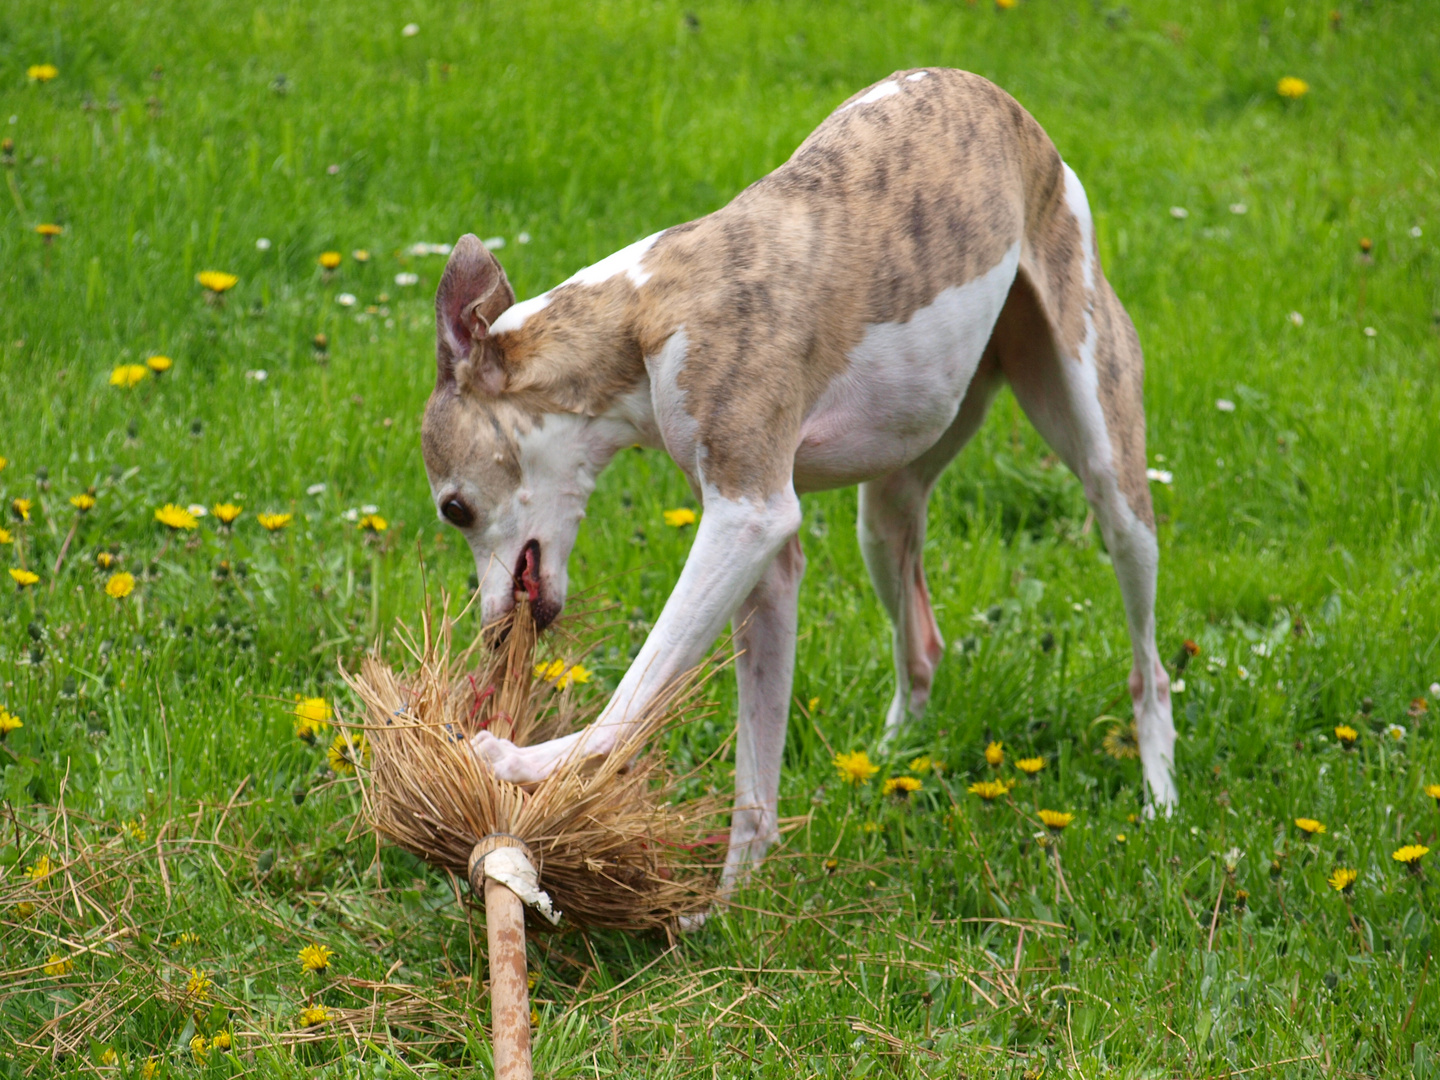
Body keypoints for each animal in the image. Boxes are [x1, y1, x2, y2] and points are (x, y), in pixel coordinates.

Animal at [420, 69, 1175, 898]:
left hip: (1108, 463)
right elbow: (755, 770)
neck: (639, 314)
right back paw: (888, 759)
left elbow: (634, 695)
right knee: (922, 643)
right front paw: (728, 903)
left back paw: (1160, 798)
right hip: (887, 509)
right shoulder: (765, 552)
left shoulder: (748, 518)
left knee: (1150, 663)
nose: (494, 633)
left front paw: (514, 761)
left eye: (454, 508)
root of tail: (1004, 104)